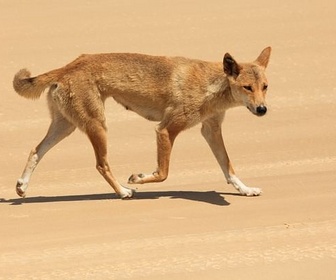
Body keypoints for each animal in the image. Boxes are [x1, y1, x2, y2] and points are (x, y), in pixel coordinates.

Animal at [13, 46, 270, 199]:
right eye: (247, 87)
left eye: (265, 86)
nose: (262, 109)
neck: (211, 86)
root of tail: (68, 66)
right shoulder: (166, 129)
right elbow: (163, 173)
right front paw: (139, 178)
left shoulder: (211, 130)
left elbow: (228, 167)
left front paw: (245, 189)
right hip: (97, 125)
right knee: (101, 165)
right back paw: (123, 191)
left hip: (66, 126)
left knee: (35, 151)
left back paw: (22, 185)